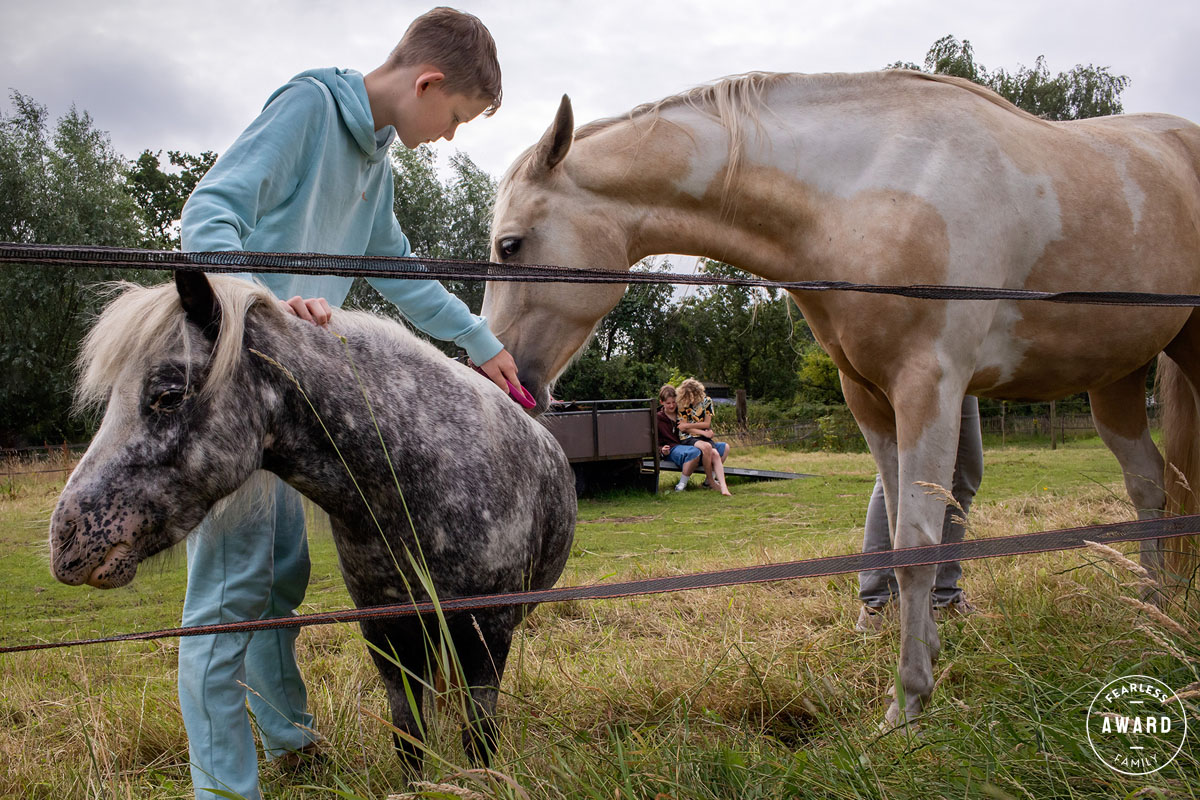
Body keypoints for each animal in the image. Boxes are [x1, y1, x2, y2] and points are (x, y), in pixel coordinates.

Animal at [45, 273, 571, 767]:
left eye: (168, 395)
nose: (65, 540)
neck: (420, 472)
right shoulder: (389, 635)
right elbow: (409, 739)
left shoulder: (487, 634)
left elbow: (478, 741)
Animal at [480, 71, 1200, 729]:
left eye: (510, 244)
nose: (505, 374)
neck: (864, 194)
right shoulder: (872, 399)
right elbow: (896, 538)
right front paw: (920, 668)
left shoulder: (929, 386)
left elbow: (916, 541)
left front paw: (907, 708)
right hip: (1115, 378)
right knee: (1149, 487)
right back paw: (1154, 607)